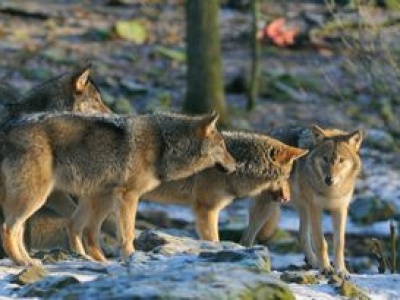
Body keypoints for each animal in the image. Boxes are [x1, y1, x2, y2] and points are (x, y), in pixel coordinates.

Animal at [0, 110, 236, 264]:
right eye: (223, 146)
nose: (236, 165)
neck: (163, 144)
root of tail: (7, 127)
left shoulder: (104, 194)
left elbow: (91, 232)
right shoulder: (128, 195)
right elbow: (127, 233)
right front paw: (130, 257)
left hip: (75, 198)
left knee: (69, 225)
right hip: (36, 197)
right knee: (9, 228)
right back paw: (22, 262)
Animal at [241, 125, 366, 278]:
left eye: (341, 160)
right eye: (325, 158)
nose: (329, 179)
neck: (331, 191)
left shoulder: (340, 208)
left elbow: (339, 243)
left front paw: (341, 270)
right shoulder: (316, 208)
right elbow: (320, 242)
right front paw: (325, 268)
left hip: (303, 209)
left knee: (302, 236)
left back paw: (314, 262)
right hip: (267, 208)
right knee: (246, 238)